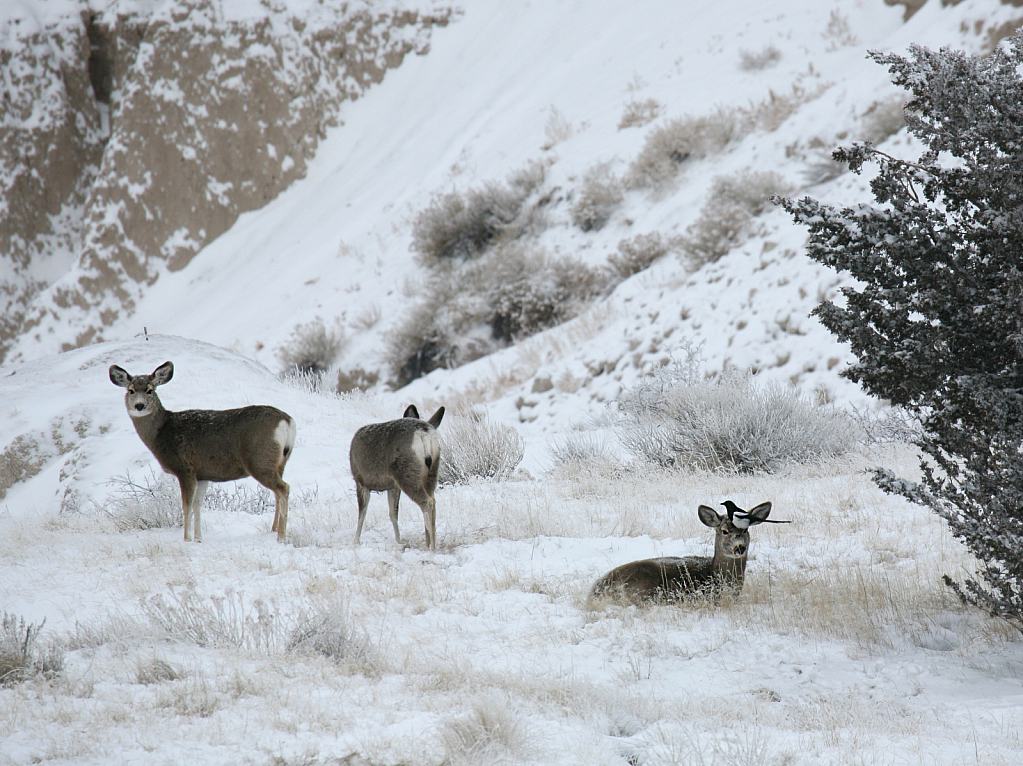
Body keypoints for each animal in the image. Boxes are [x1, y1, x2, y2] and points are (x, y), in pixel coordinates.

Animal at [110, 362, 298, 539]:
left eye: (150, 390)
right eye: (131, 390)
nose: (139, 406)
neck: (162, 432)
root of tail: (287, 421)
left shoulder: (184, 468)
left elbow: (186, 506)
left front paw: (187, 539)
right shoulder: (202, 474)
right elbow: (197, 505)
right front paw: (198, 538)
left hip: (259, 460)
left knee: (283, 488)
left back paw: (281, 536)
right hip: (280, 462)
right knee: (278, 492)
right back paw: (274, 530)